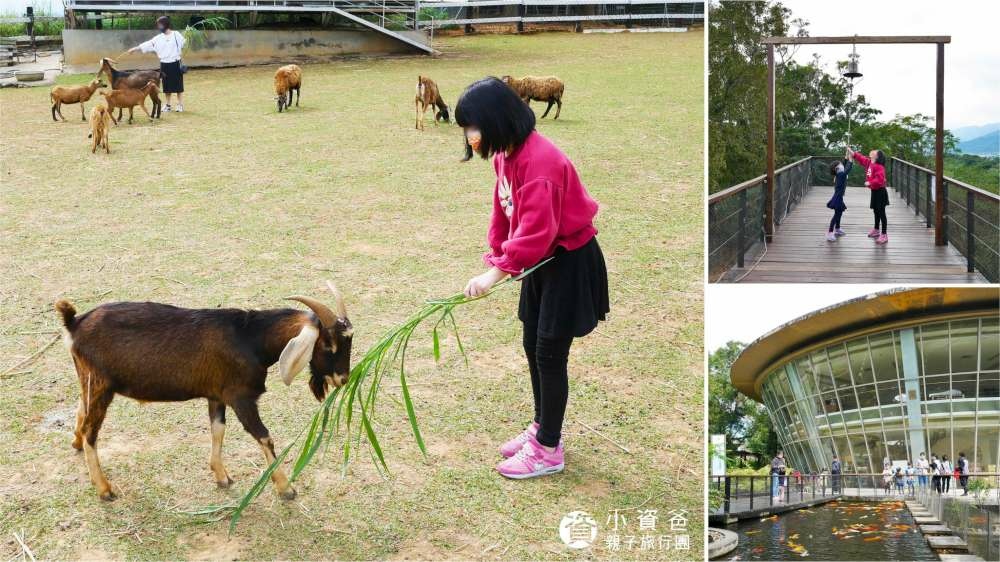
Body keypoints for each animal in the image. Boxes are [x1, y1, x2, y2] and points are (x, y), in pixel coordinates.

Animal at [57, 282, 356, 500]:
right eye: (327, 344)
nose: (343, 379)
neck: (250, 338)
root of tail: (74, 322)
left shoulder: (216, 395)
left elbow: (217, 429)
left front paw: (222, 476)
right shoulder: (241, 397)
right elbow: (264, 437)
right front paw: (286, 489)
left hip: (88, 380)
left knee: (81, 412)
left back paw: (76, 445)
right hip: (101, 385)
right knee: (91, 431)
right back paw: (104, 488)